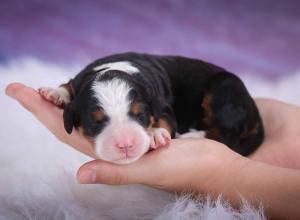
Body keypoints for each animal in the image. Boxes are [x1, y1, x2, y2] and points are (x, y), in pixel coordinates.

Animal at [38, 52, 264, 164]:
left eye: (141, 116)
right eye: (97, 122)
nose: (126, 145)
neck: (114, 68)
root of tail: (255, 113)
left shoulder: (162, 106)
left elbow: (165, 121)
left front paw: (155, 134)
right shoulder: (81, 79)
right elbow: (69, 84)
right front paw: (55, 93)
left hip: (224, 88)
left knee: (227, 134)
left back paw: (193, 135)